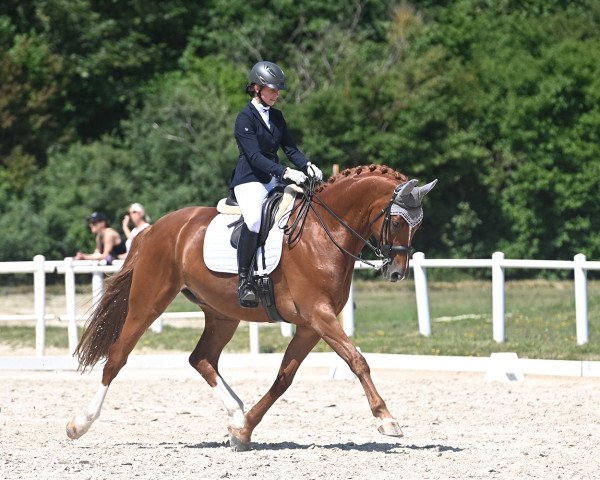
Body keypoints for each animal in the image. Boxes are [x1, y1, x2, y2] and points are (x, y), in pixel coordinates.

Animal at [67, 164, 436, 450]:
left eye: (418, 225)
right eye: (398, 222)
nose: (396, 272)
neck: (323, 232)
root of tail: (152, 229)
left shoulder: (310, 325)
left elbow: (284, 378)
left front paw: (243, 431)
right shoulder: (319, 315)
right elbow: (357, 361)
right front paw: (387, 420)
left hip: (221, 314)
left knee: (201, 358)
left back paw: (236, 412)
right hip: (148, 303)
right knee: (117, 357)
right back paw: (79, 424)